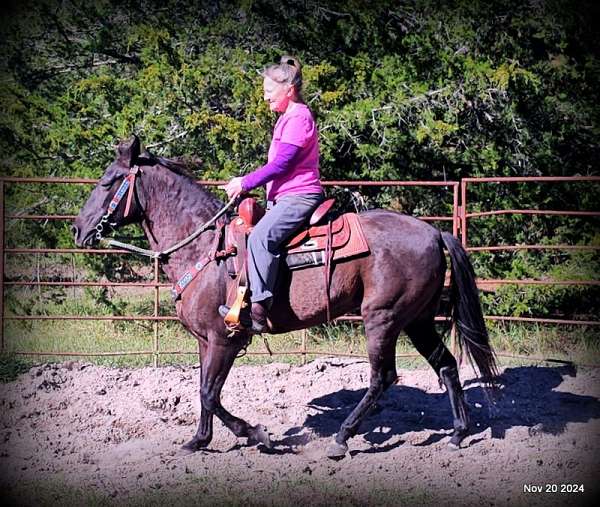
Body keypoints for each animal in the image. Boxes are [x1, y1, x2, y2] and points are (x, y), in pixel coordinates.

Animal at [74, 137, 496, 458]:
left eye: (109, 182)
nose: (78, 229)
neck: (207, 249)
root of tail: (434, 232)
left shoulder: (226, 338)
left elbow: (210, 393)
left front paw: (256, 434)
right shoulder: (205, 340)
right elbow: (203, 389)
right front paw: (199, 440)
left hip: (383, 319)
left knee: (383, 377)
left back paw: (342, 438)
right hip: (417, 320)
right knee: (446, 365)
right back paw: (459, 432)